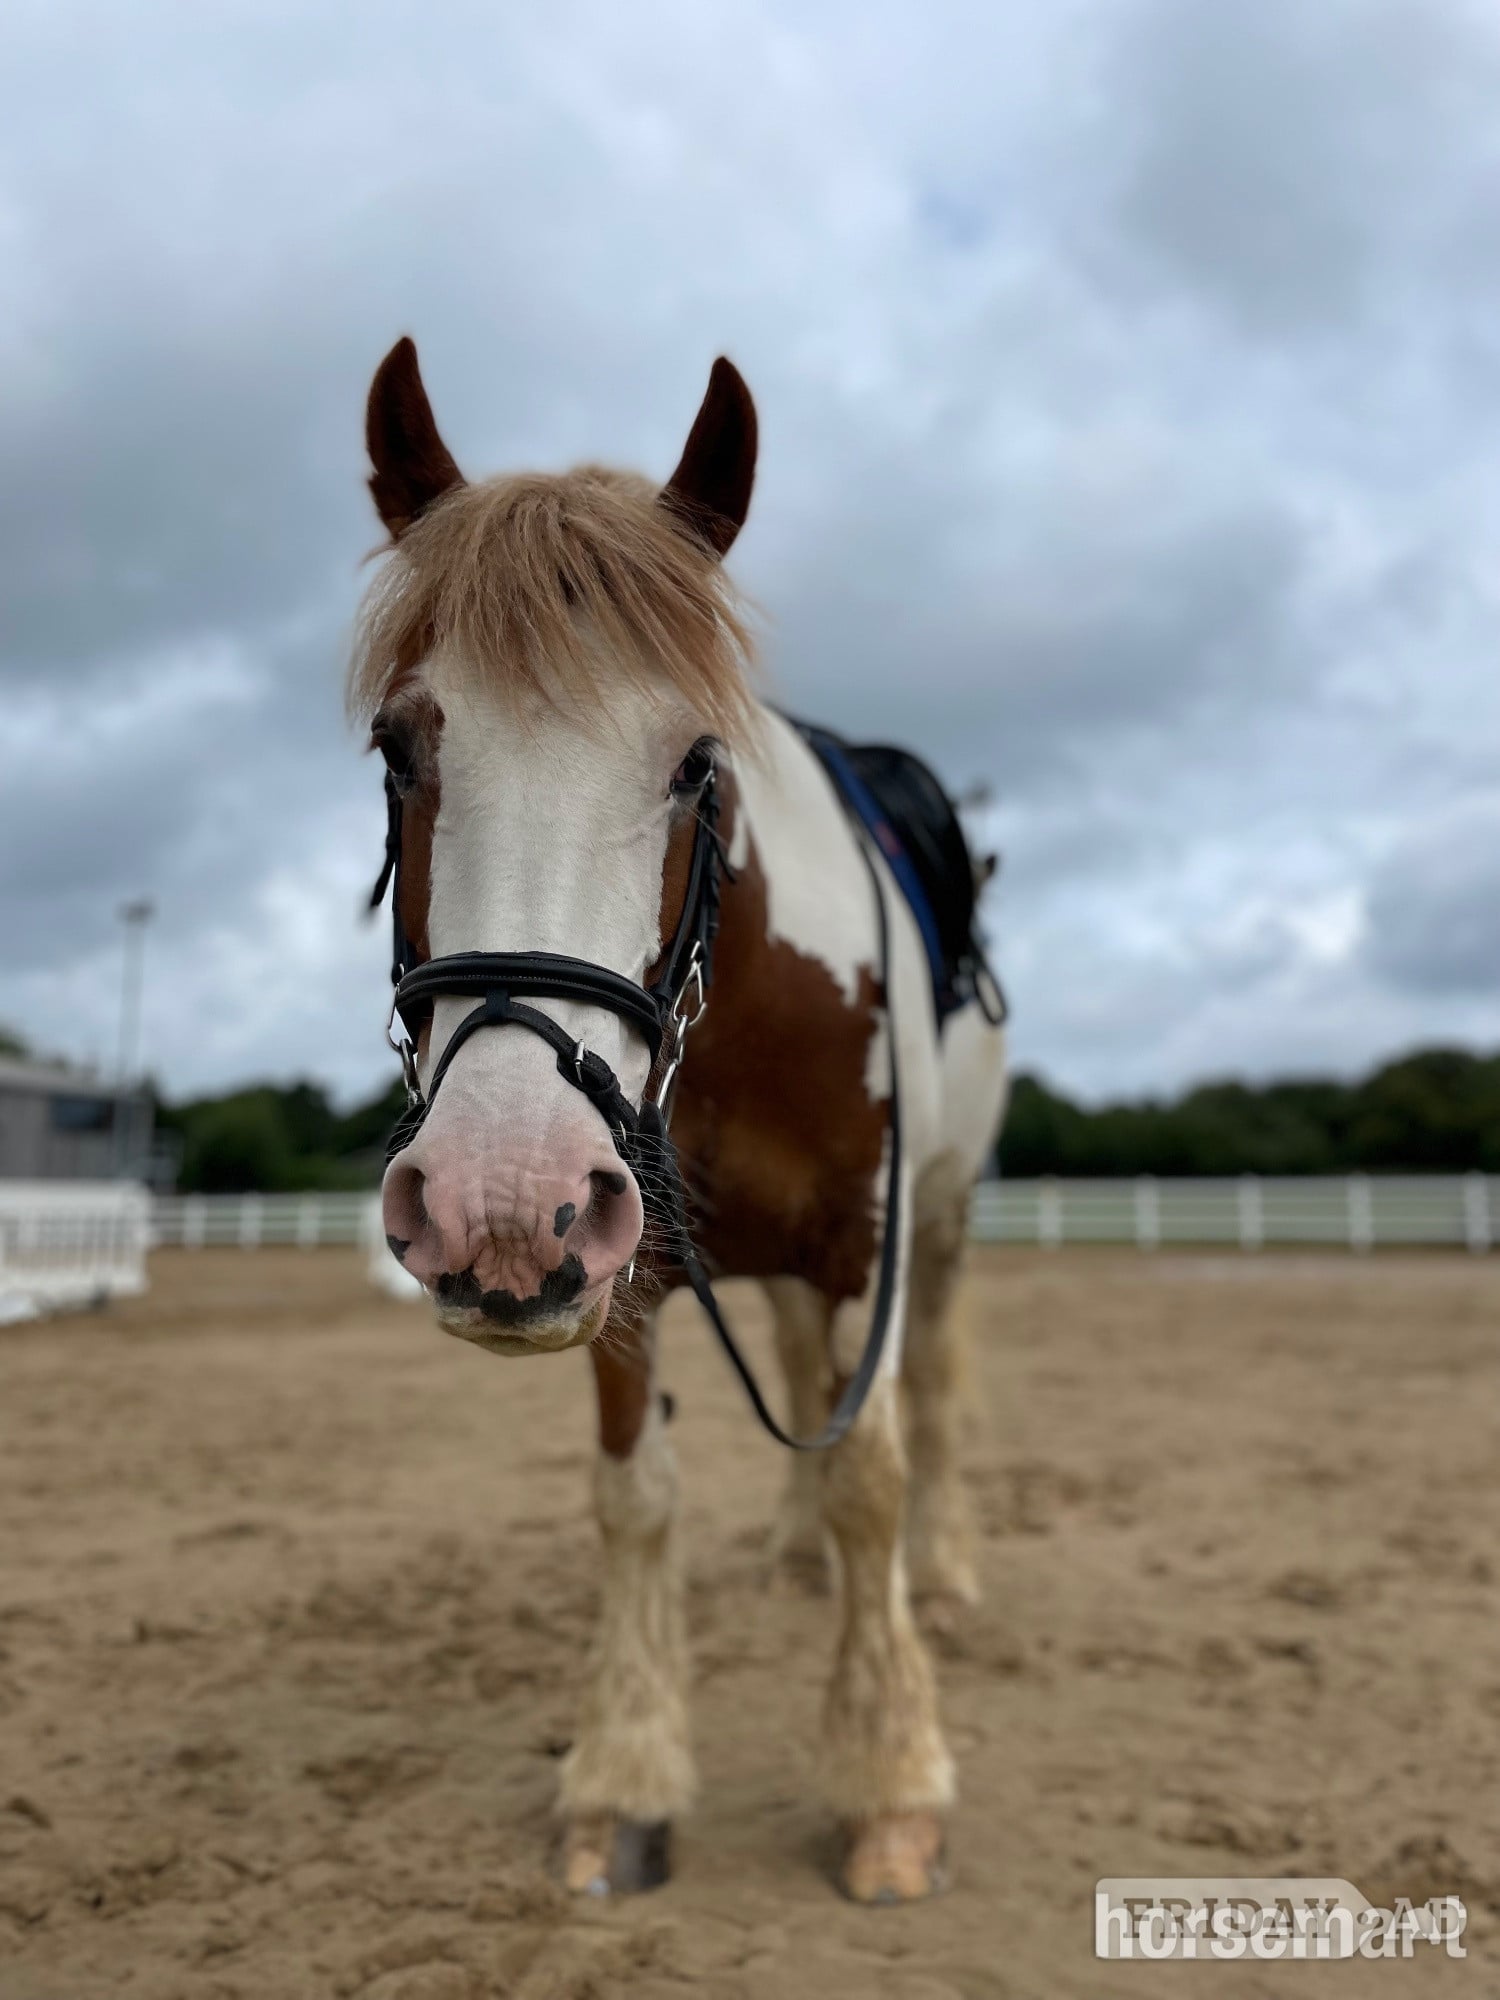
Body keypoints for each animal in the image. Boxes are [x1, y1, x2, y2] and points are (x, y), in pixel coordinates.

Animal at [351, 337, 1009, 1904]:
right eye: (399, 748)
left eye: (698, 762)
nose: (496, 1197)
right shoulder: (619, 1260)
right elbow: (636, 1493)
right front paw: (624, 1778)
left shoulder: (875, 1237)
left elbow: (878, 1470)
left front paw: (890, 1780)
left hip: (947, 1218)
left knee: (929, 1399)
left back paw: (943, 1573)